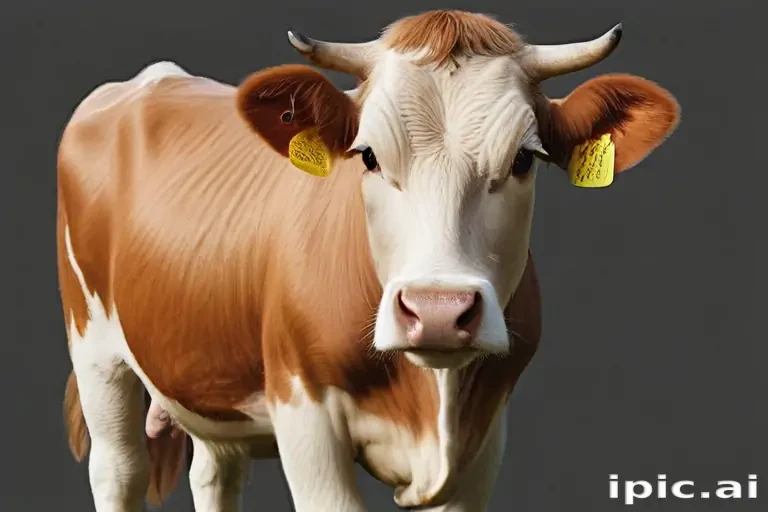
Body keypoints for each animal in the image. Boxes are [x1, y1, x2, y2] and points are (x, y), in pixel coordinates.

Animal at [57, 9, 680, 512]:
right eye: (369, 156)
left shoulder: (486, 432)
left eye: (524, 159)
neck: (429, 402)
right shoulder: (304, 411)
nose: (437, 310)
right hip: (95, 350)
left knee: (215, 472)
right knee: (119, 469)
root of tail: (151, 78)